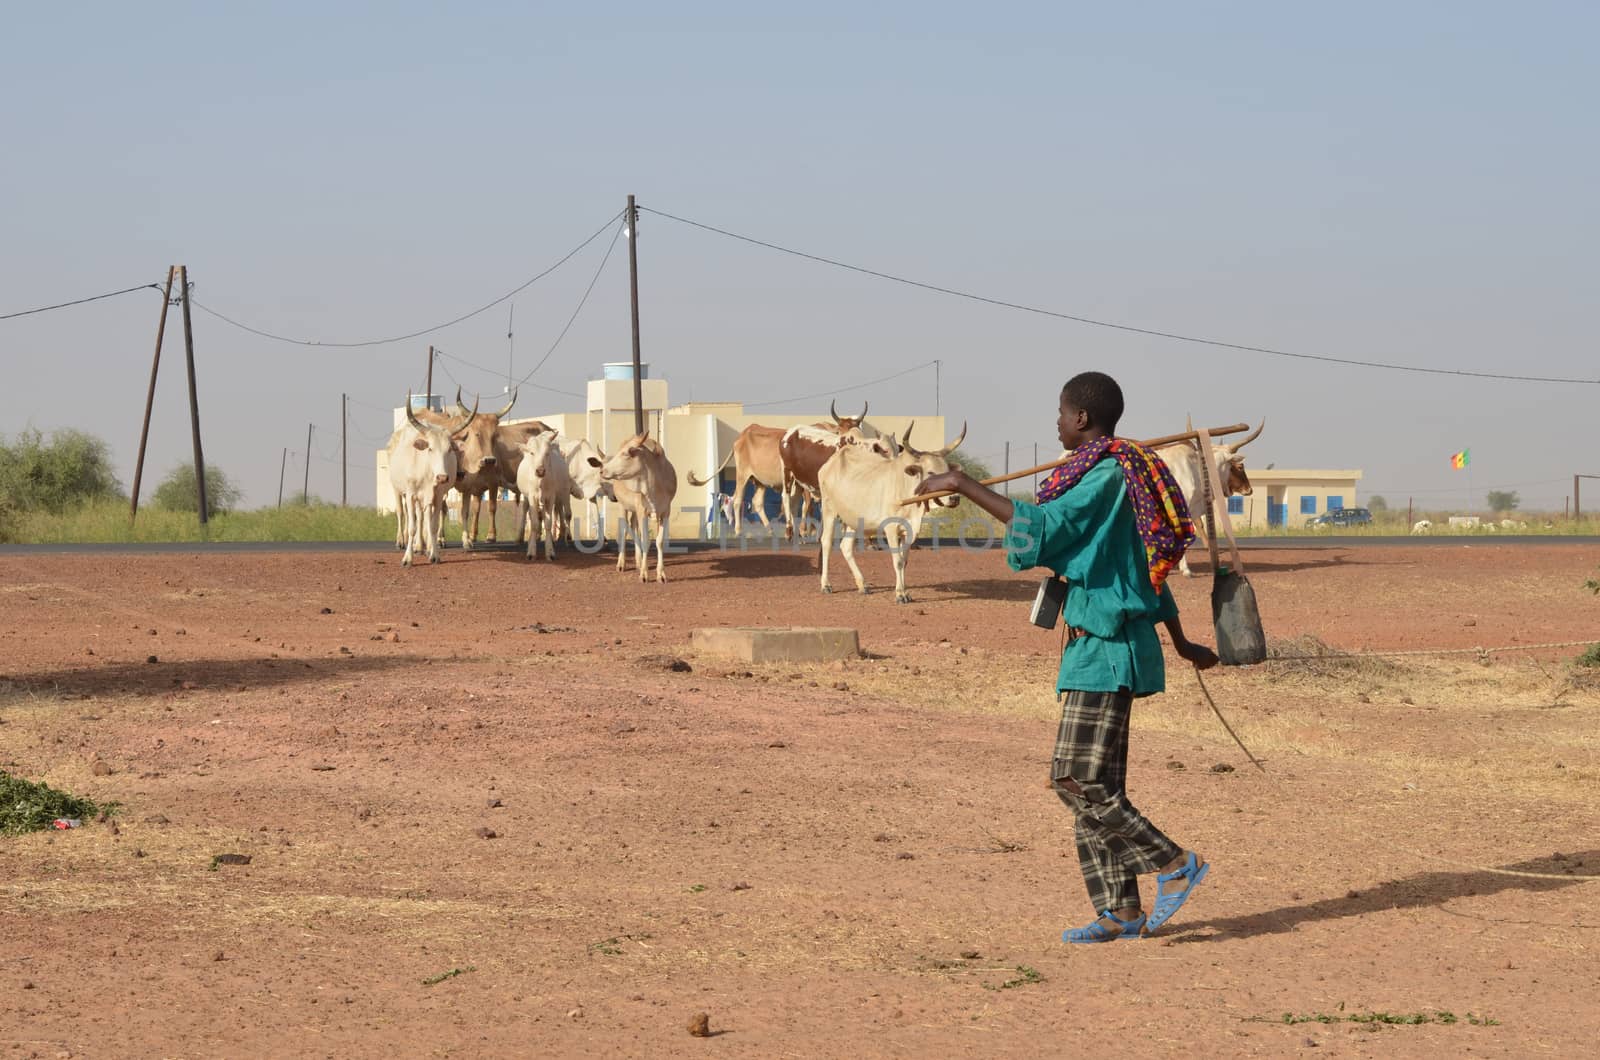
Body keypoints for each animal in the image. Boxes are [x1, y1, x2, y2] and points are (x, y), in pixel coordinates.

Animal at [515, 432, 572, 563]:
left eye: (547, 453)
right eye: (532, 453)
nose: (540, 471)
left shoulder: (550, 497)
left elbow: (548, 523)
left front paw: (550, 551)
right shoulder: (532, 497)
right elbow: (535, 523)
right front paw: (531, 551)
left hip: (562, 492)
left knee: (561, 510)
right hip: (526, 497)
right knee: (526, 510)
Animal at [595, 429, 681, 586]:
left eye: (625, 453)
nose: (602, 470)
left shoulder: (665, 512)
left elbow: (659, 541)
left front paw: (661, 574)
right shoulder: (642, 510)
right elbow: (645, 540)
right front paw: (644, 574)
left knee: (633, 526)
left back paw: (639, 560)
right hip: (623, 506)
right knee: (624, 529)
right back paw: (622, 563)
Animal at [812, 422, 960, 605]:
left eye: (947, 471)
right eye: (931, 472)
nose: (954, 498)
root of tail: (832, 461)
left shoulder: (909, 531)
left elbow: (904, 561)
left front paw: (905, 592)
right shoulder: (891, 528)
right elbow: (897, 561)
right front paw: (900, 594)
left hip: (854, 519)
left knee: (845, 547)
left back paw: (862, 584)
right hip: (829, 510)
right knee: (826, 542)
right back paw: (826, 584)